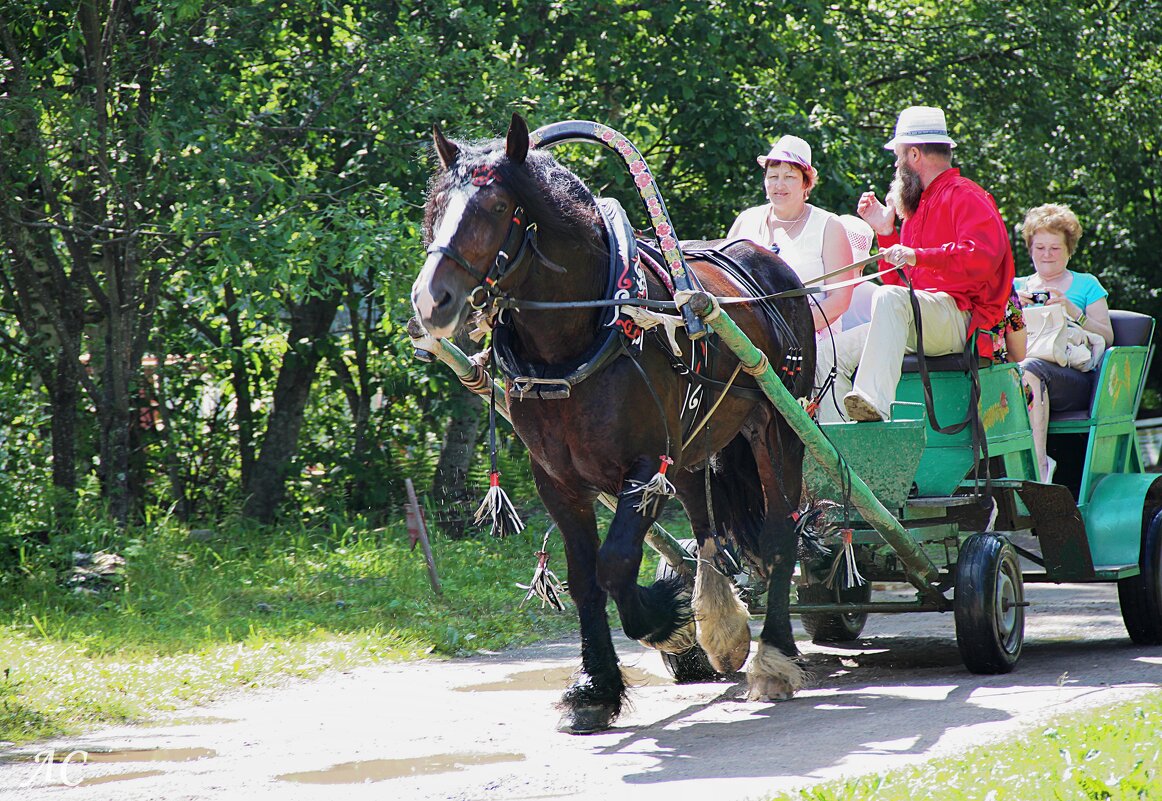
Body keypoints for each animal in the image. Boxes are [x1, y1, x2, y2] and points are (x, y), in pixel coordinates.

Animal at [411, 115, 818, 734]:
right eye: (435, 206)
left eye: (497, 206)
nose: (431, 300)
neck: (577, 338)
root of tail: (767, 261)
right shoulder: (557, 478)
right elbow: (584, 577)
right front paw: (595, 686)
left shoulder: (645, 466)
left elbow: (616, 563)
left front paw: (663, 619)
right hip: (696, 445)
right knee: (706, 528)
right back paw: (721, 625)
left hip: (779, 429)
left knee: (778, 536)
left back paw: (773, 654)